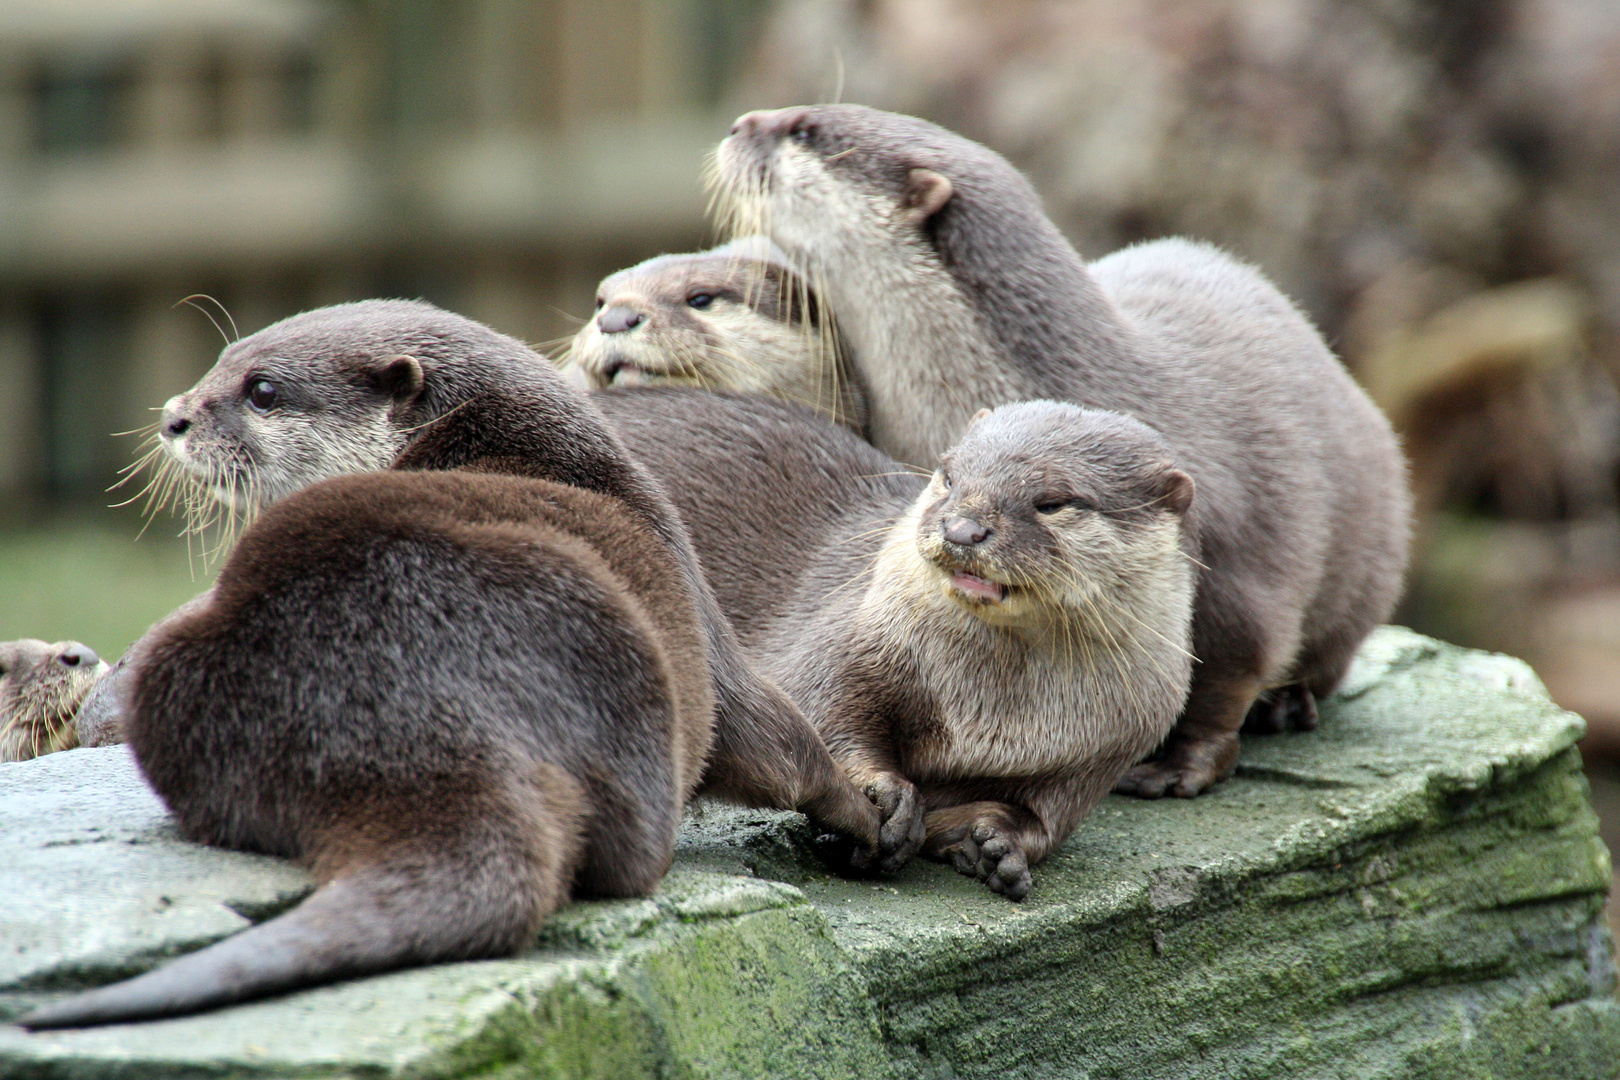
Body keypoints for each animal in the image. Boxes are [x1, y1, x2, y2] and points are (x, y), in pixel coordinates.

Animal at [22, 299, 887, 1029]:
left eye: (260, 388)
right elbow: (773, 737)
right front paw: (871, 814)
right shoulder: (695, 605)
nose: (174, 416)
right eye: (219, 362)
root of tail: (417, 728)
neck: (511, 446)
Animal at [589, 393, 1198, 900]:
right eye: (948, 476)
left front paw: (997, 844)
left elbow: (1044, 821)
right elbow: (822, 709)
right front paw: (886, 796)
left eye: (1052, 501)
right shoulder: (847, 640)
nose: (963, 529)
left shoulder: (1101, 753)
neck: (994, 713)